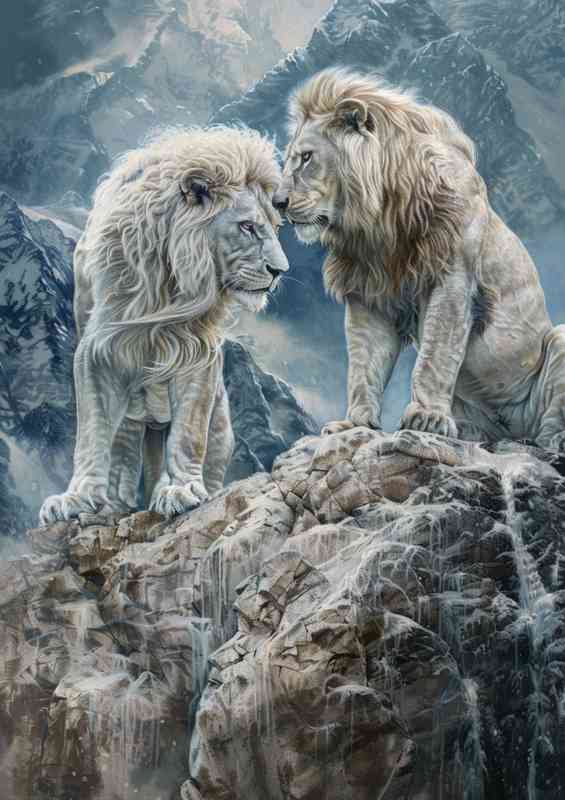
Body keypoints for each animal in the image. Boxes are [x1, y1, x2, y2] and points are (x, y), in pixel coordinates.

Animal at [39, 126, 288, 524]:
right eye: (248, 227)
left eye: (277, 228)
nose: (280, 271)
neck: (166, 277)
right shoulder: (96, 350)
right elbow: (92, 431)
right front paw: (76, 498)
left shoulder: (199, 353)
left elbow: (188, 433)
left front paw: (181, 489)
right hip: (135, 418)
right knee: (125, 447)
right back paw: (117, 501)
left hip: (221, 421)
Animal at [273, 68, 565, 449]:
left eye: (306, 157)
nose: (277, 202)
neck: (381, 222)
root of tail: (513, 431)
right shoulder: (369, 294)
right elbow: (364, 366)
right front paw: (355, 424)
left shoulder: (452, 280)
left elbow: (434, 358)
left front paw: (427, 418)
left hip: (558, 340)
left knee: (548, 426)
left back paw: (546, 441)